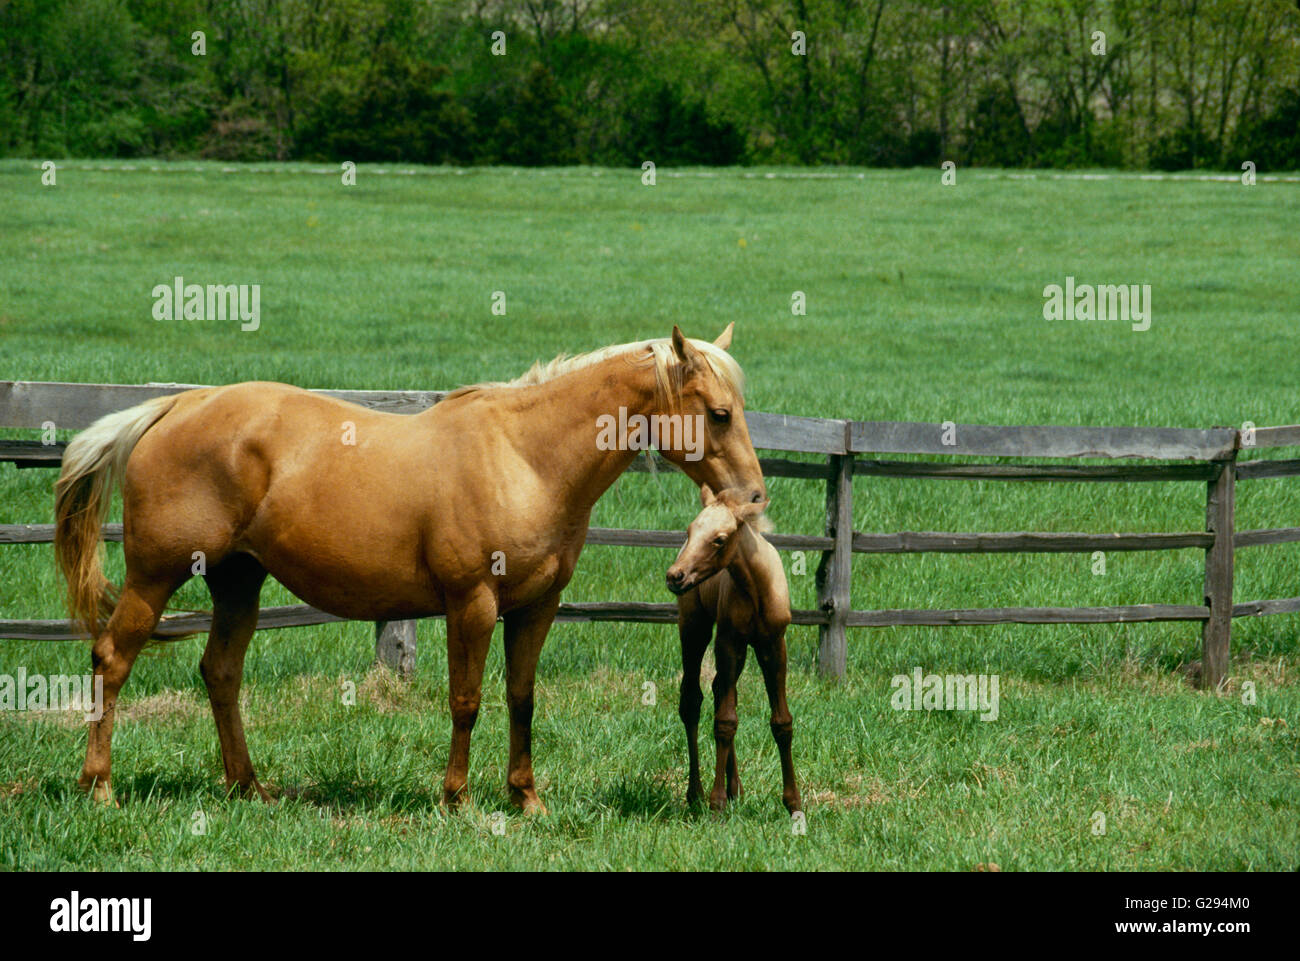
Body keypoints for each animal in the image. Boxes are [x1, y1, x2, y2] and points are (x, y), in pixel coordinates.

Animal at [53, 324, 766, 812]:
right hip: (155, 576)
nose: (754, 498)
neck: (525, 458)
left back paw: (248, 787)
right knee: (112, 659)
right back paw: (100, 787)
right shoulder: (471, 603)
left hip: (238, 581)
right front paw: (457, 799)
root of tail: (175, 407)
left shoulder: (536, 608)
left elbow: (521, 697)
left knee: (220, 673)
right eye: (720, 413)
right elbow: (466, 700)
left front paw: (525, 798)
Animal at [665, 484, 801, 814]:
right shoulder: (728, 641)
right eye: (690, 530)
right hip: (695, 626)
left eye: (720, 539)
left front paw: (793, 802)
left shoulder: (773, 644)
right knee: (692, 700)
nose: (675, 575)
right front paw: (716, 803)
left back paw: (735, 788)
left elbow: (782, 721)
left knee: (720, 692)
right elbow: (725, 722)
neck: (757, 589)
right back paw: (697, 794)